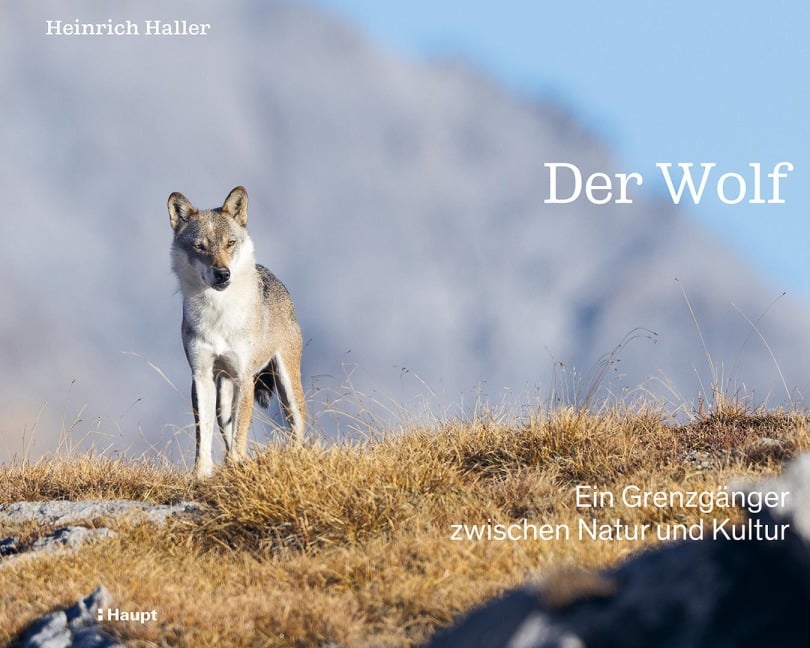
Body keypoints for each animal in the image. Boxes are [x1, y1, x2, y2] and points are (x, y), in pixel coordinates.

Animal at [168, 186, 306, 478]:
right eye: (200, 247)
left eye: (230, 243)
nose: (222, 274)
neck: (218, 313)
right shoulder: (201, 376)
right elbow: (203, 434)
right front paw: (202, 473)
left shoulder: (245, 377)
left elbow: (241, 430)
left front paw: (236, 464)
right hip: (223, 392)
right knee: (225, 427)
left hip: (287, 386)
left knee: (299, 428)